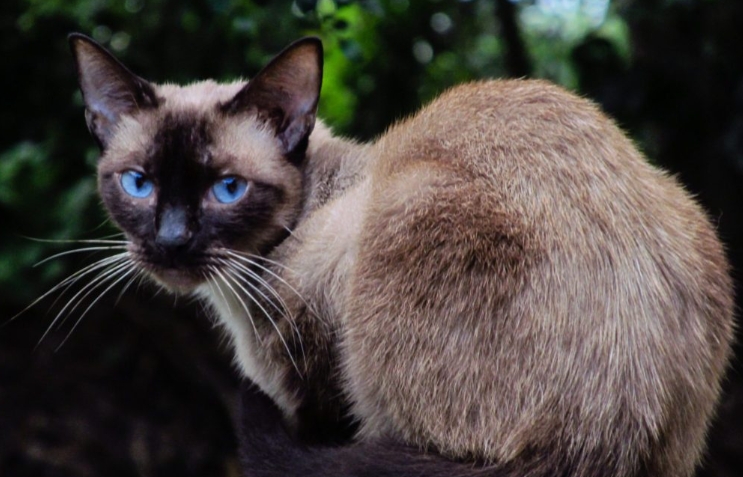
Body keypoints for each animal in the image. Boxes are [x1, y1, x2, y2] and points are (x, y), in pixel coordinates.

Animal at [70, 33, 740, 476]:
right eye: (138, 183)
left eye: (226, 189)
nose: (171, 240)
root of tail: (602, 439)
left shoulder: (313, 395)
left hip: (407, 216)